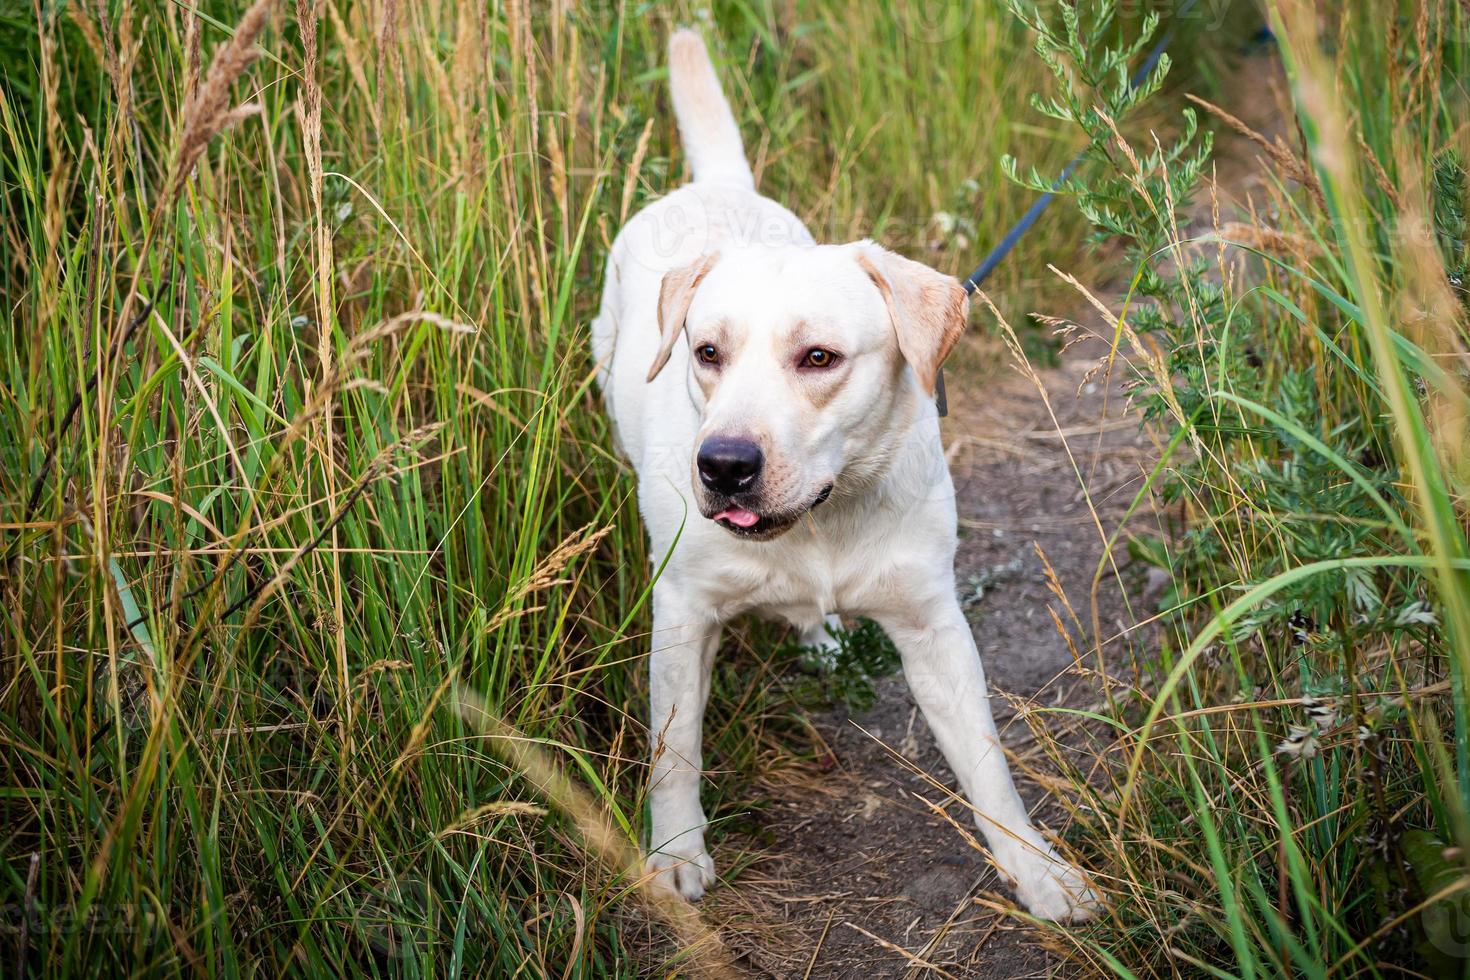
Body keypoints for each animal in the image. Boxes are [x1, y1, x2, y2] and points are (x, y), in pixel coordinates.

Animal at [590, 28, 1099, 922]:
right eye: (706, 352)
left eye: (819, 358)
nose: (723, 465)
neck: (823, 520)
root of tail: (718, 185)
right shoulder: (683, 612)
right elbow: (675, 745)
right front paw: (676, 852)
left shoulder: (935, 627)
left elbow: (990, 765)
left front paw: (1037, 868)